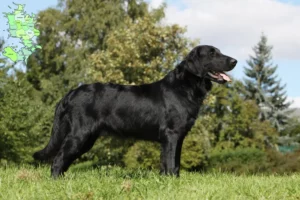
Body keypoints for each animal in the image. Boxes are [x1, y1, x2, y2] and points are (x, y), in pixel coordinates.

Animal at [33, 45, 237, 177]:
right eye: (212, 53)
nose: (234, 60)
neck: (185, 86)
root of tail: (71, 93)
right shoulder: (171, 134)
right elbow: (171, 163)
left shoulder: (177, 137)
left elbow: (173, 163)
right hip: (79, 135)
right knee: (58, 160)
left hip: (86, 139)